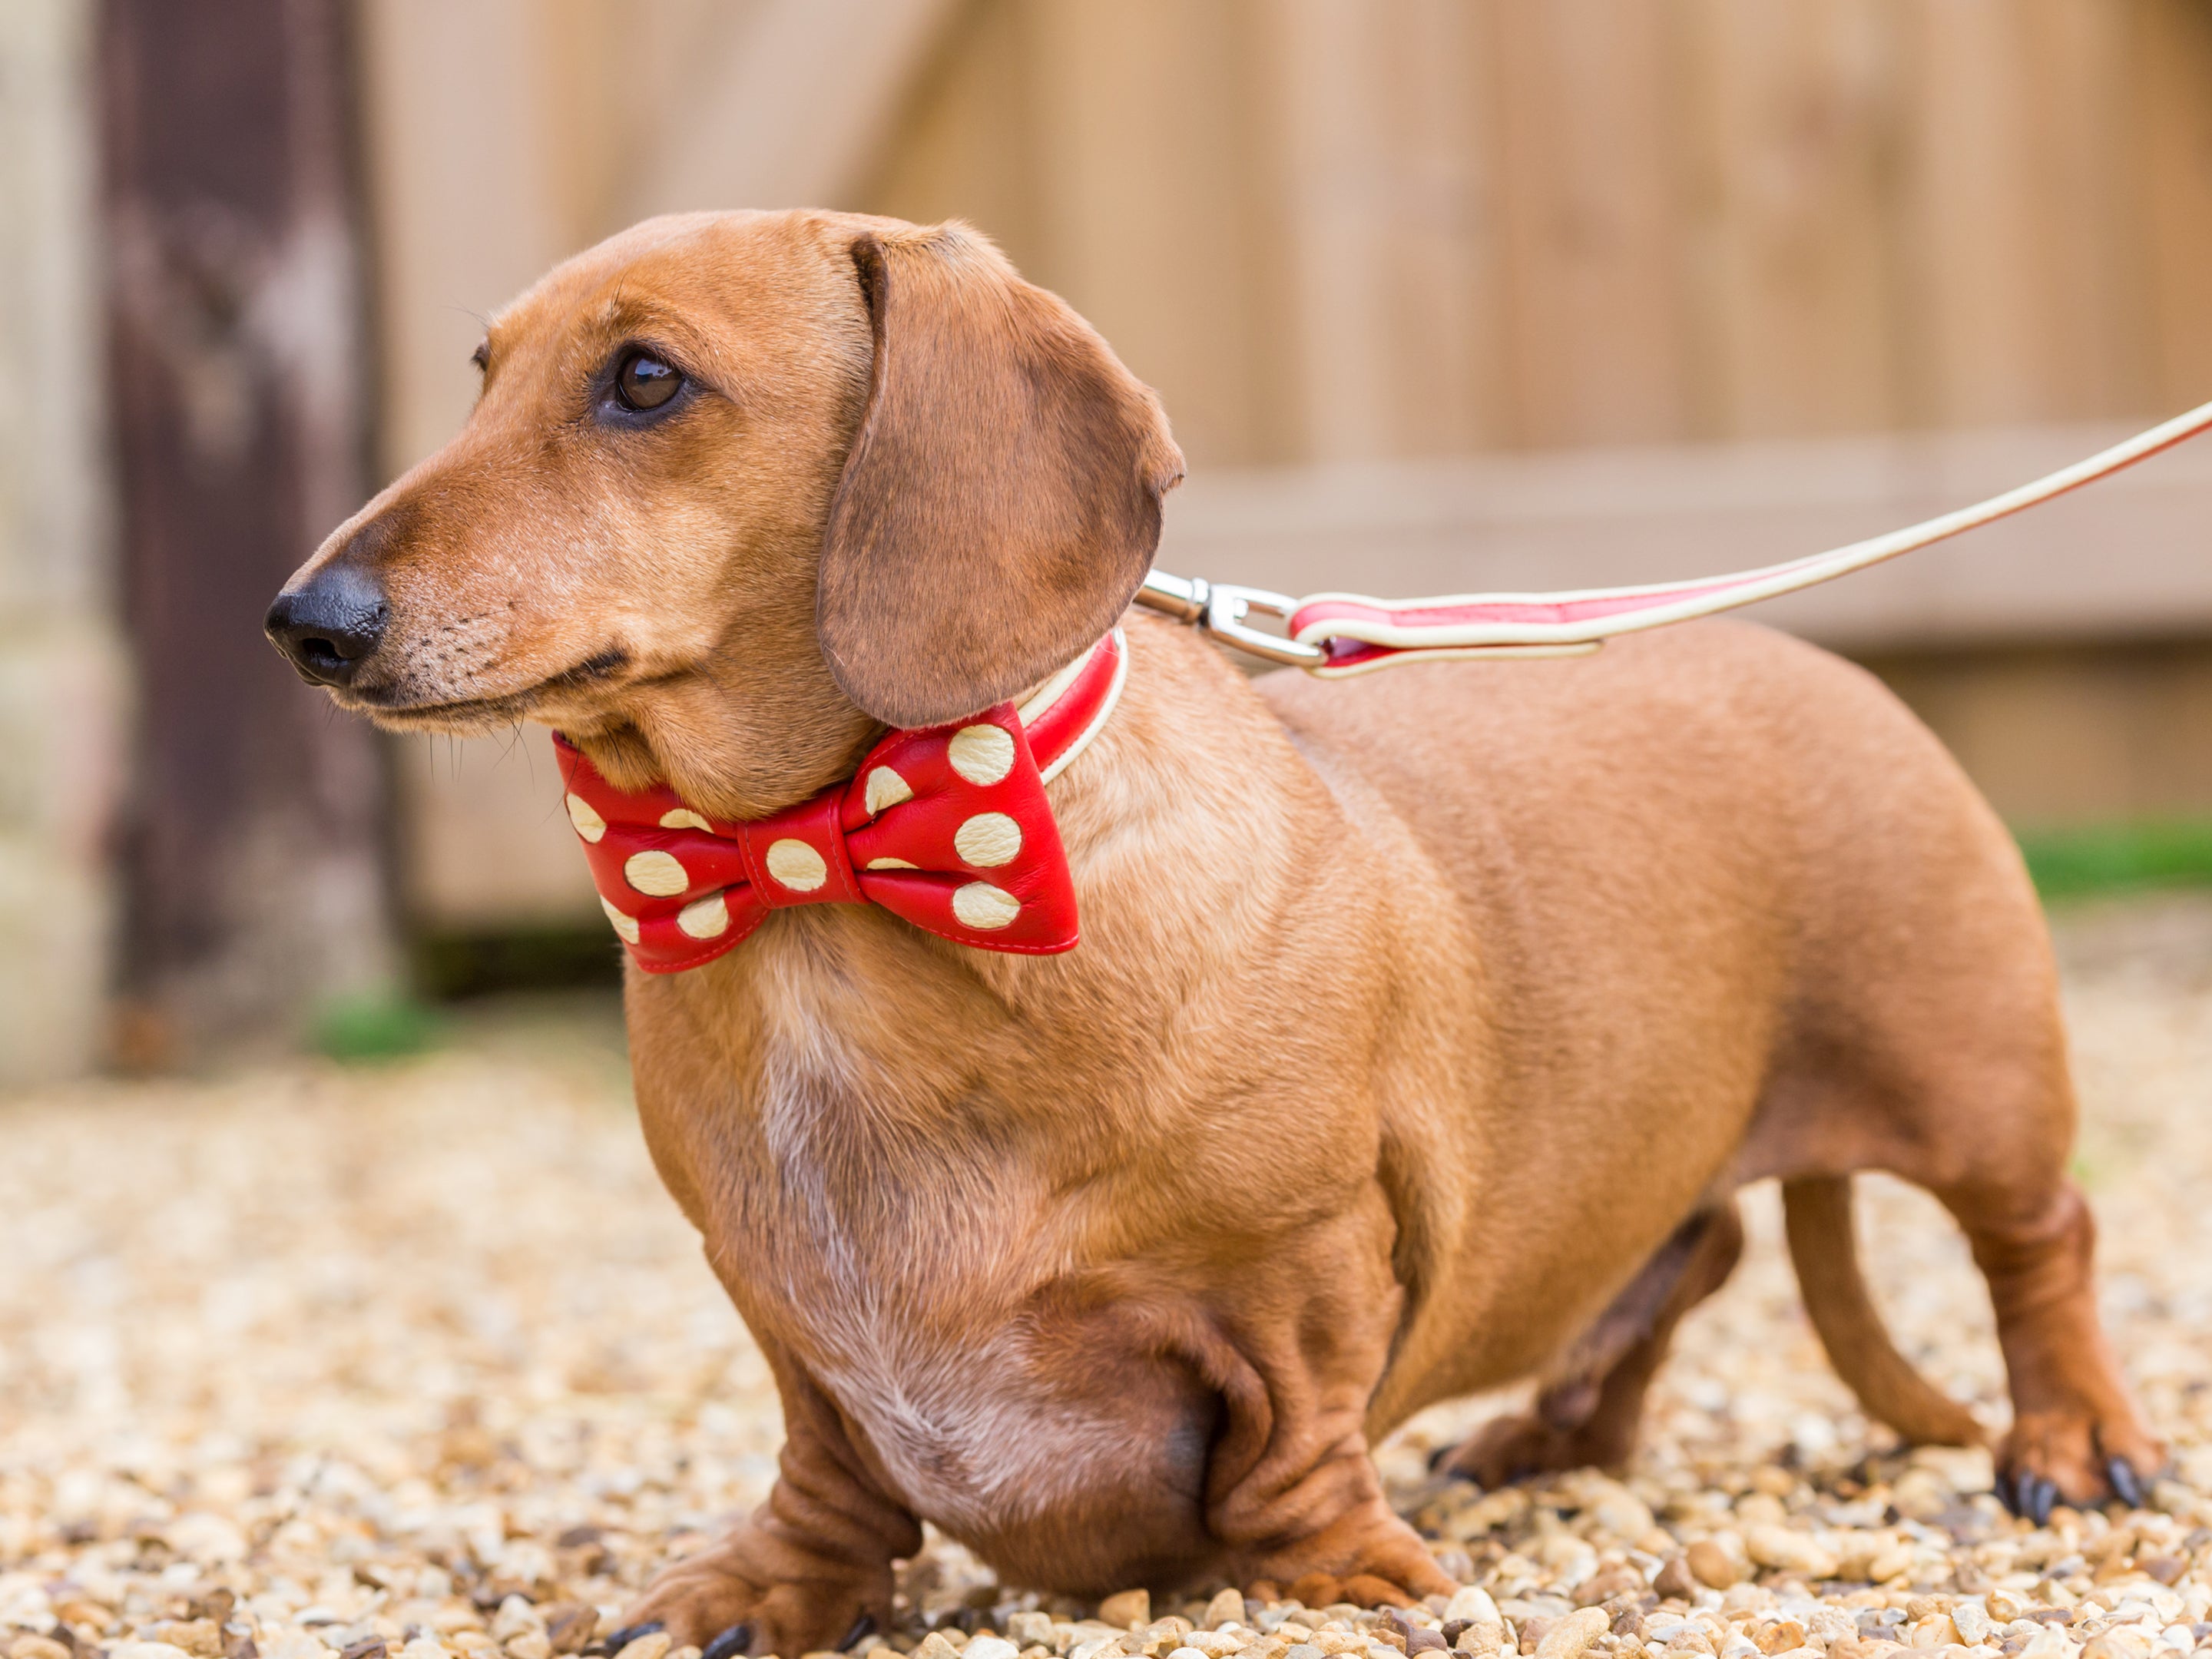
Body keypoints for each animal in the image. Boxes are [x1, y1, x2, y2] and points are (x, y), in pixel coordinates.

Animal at [272, 214, 2158, 1654]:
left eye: (647, 380)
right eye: (484, 371)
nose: (304, 622)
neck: (834, 885)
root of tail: (1814, 655)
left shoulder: (1305, 1262)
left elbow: (1300, 1444)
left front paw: (1349, 1580)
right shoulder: (783, 1316)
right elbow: (826, 1477)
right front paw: (760, 1589)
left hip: (1972, 1088)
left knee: (2041, 1245)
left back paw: (2076, 1444)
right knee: (1689, 1255)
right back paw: (1551, 1434)